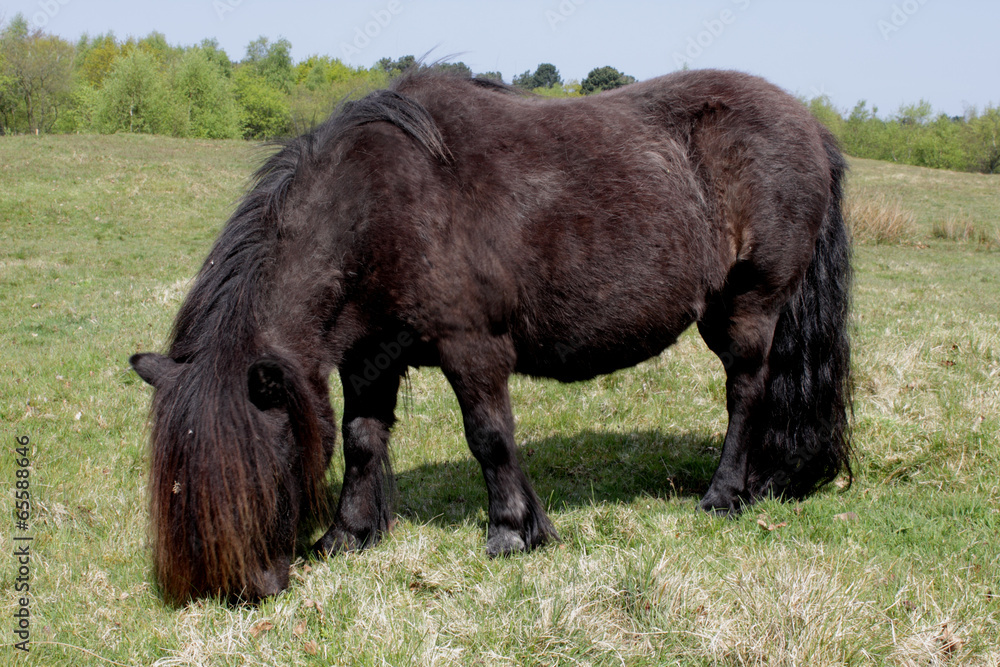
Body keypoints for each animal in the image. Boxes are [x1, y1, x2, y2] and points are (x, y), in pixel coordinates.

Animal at [130, 67, 852, 603]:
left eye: (254, 470)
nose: (242, 590)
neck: (382, 205)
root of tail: (813, 126)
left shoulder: (471, 348)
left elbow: (490, 437)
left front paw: (512, 530)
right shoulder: (368, 358)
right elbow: (363, 441)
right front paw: (346, 536)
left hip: (749, 306)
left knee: (745, 394)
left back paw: (723, 494)